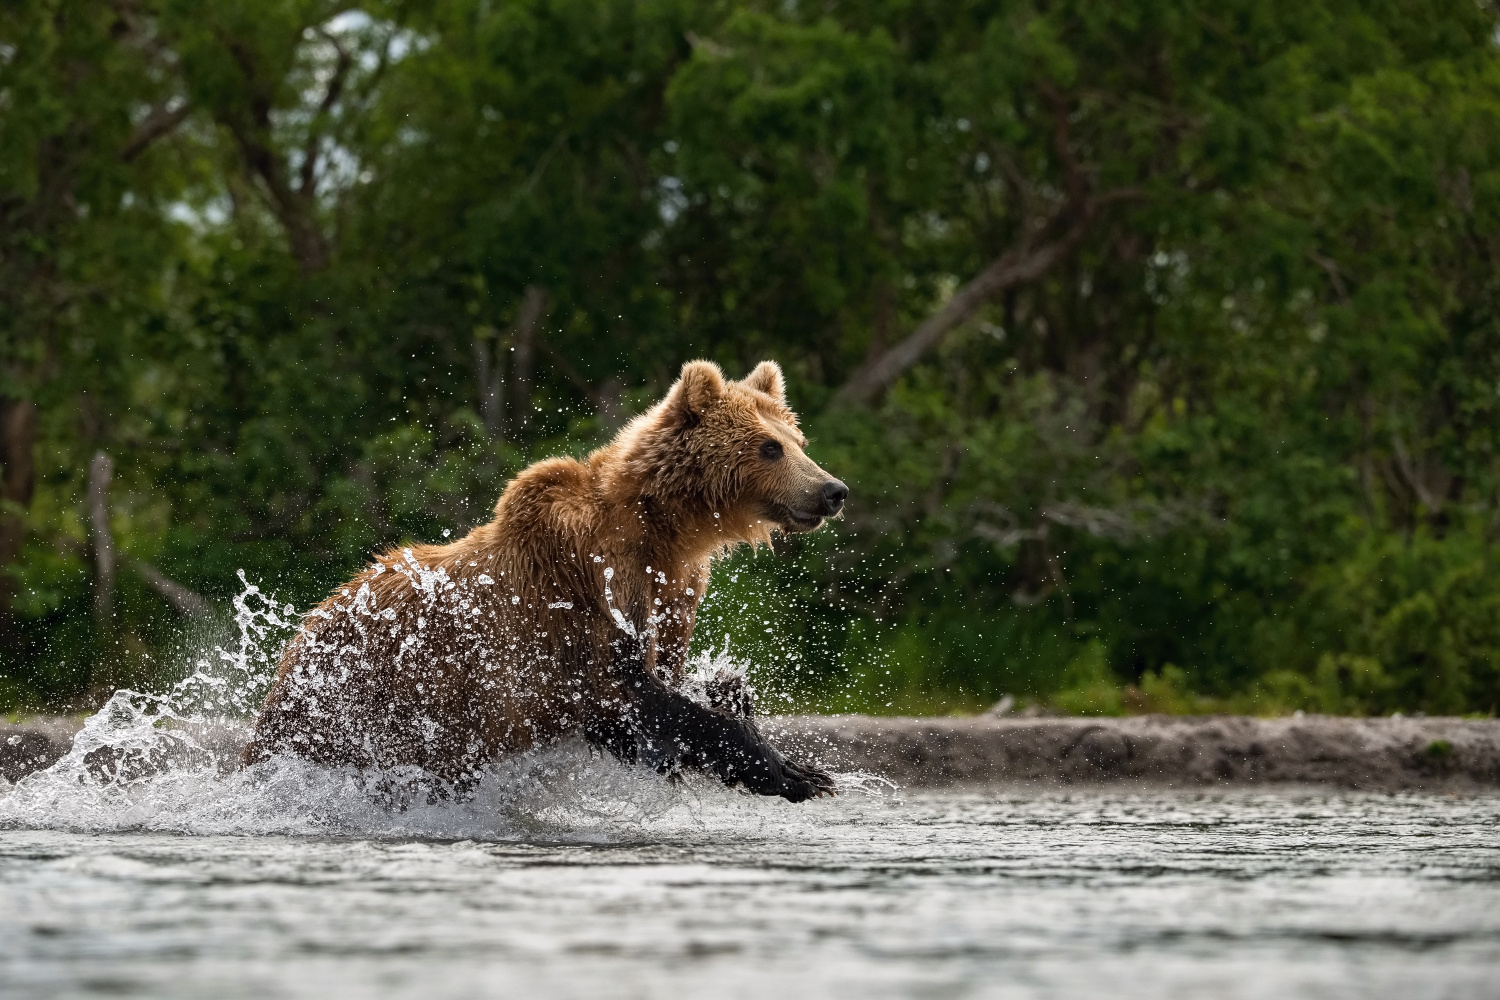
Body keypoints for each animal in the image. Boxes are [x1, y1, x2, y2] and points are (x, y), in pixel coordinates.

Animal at [252, 359, 852, 803]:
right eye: (768, 447)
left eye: (796, 439)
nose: (833, 490)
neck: (665, 530)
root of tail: (298, 640)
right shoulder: (588, 587)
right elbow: (626, 688)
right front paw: (795, 774)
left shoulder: (675, 588)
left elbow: (671, 683)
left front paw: (776, 746)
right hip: (363, 708)